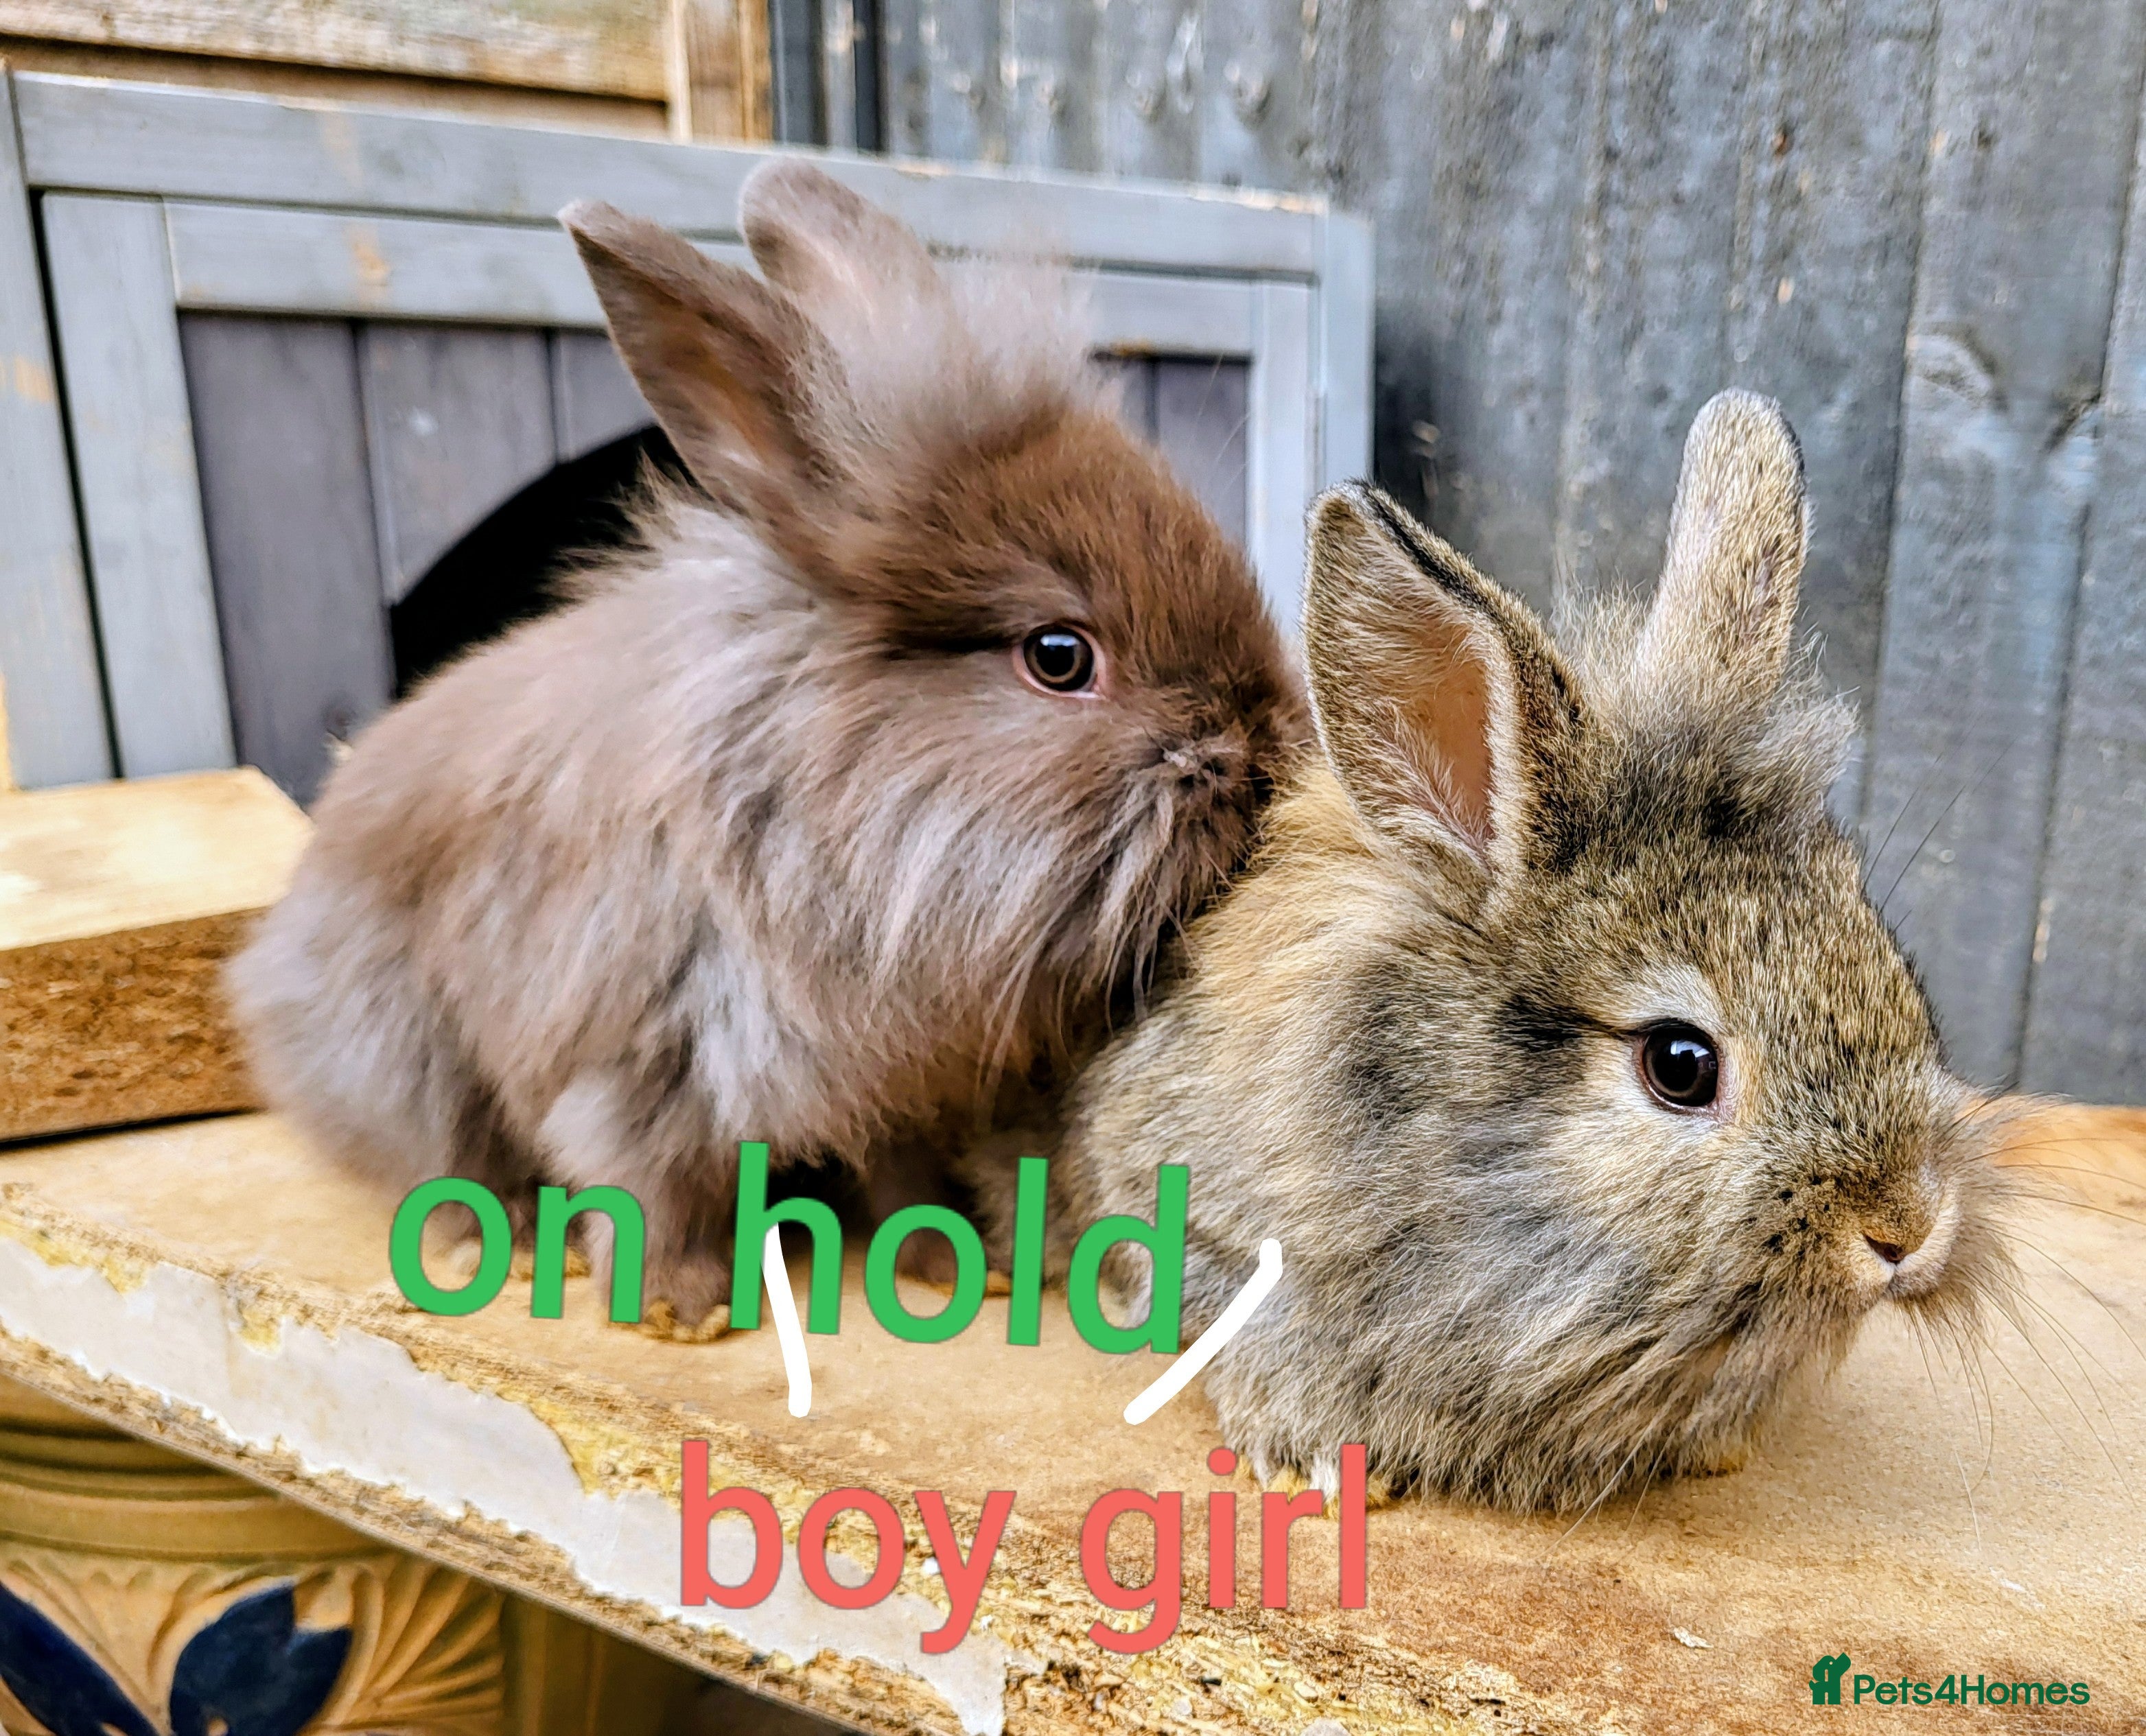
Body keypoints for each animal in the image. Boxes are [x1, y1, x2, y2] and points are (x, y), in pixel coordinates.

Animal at [228, 160, 1305, 1333]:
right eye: (1059, 656)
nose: (1264, 751)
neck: (821, 795)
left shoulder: (898, 1086)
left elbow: (901, 1175)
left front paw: (948, 1265)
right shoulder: (638, 1056)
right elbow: (649, 1185)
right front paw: (681, 1311)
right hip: (404, 1052)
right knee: (446, 1158)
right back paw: (500, 1241)